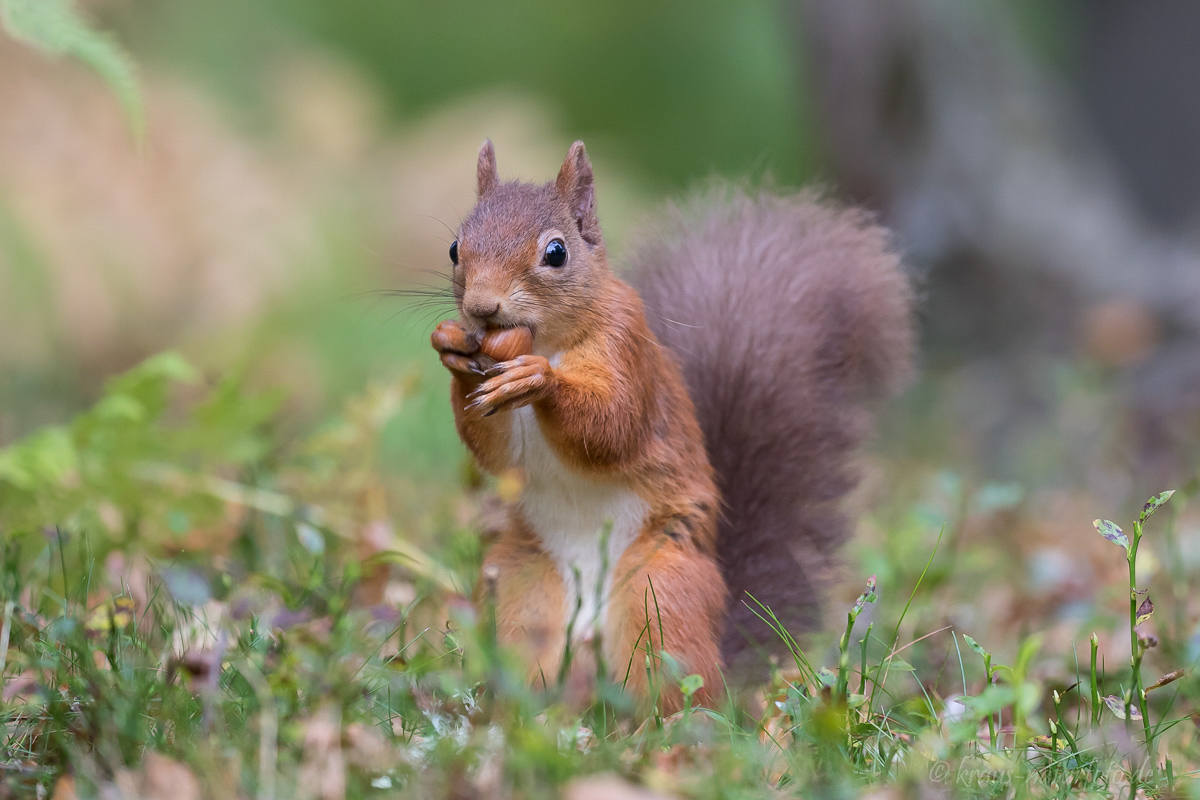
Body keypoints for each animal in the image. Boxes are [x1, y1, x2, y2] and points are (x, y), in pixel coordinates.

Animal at [432, 139, 907, 714]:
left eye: (556, 252)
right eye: (455, 248)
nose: (481, 308)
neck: (546, 341)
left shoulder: (628, 350)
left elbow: (612, 427)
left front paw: (540, 380)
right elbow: (495, 449)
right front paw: (454, 352)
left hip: (663, 596)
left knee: (677, 686)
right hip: (522, 596)